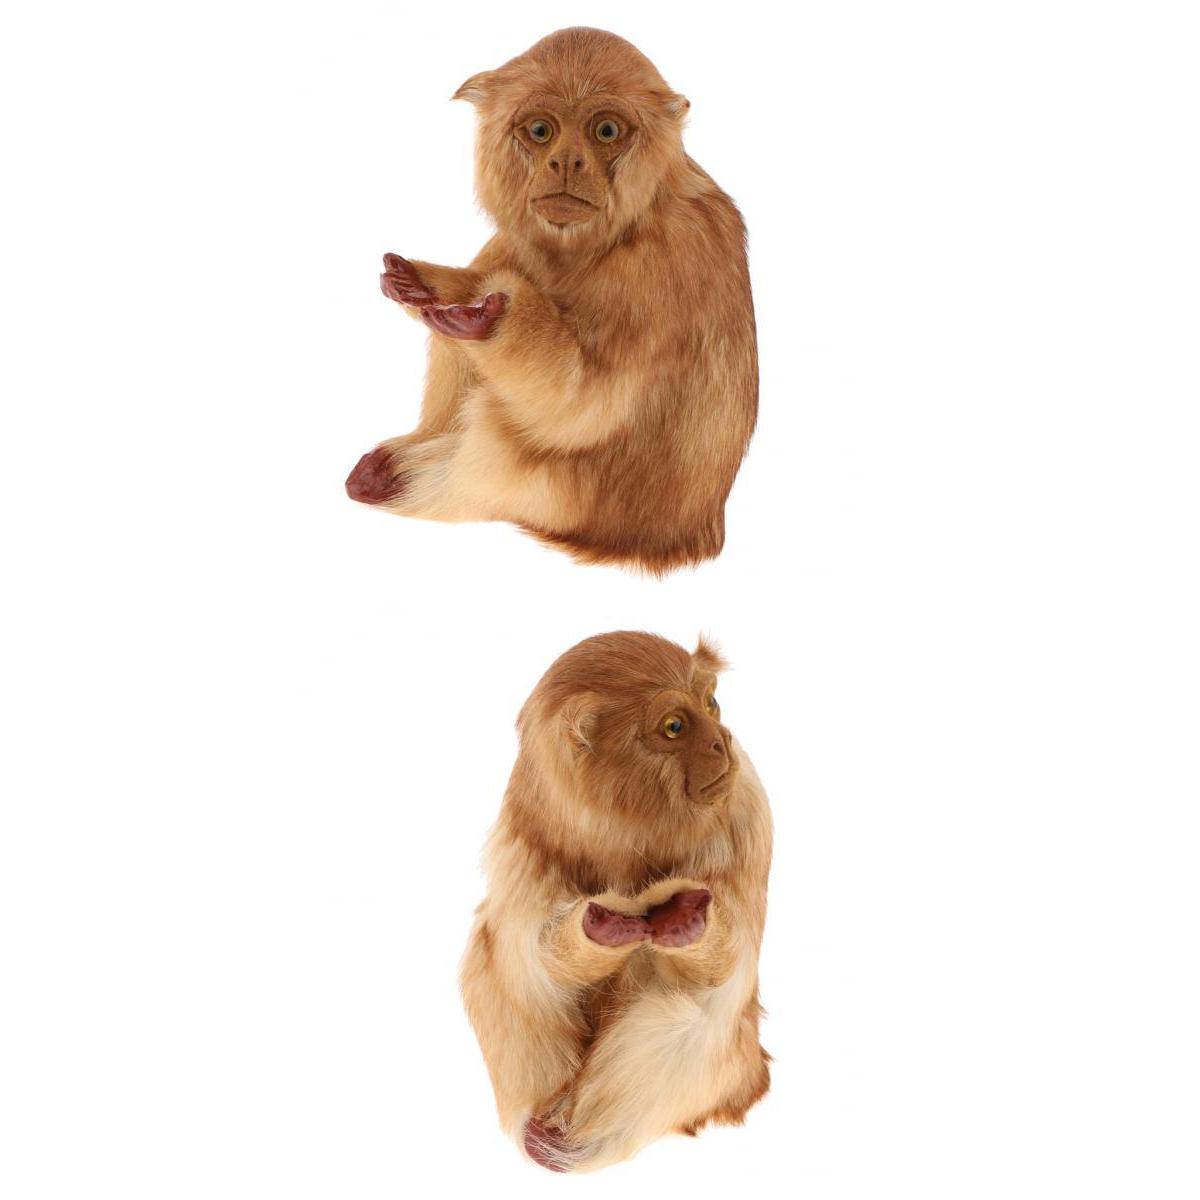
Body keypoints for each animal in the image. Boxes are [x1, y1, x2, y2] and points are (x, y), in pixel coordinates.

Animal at [345, 28, 758, 574]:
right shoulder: (509, 244)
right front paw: (432, 285)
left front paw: (488, 320)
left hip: (576, 505)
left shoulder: (669, 257)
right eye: (540, 131)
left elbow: (586, 408)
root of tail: (696, 535)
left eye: (606, 130)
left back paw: (413, 483)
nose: (566, 161)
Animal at [460, 632, 772, 1171]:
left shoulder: (745, 811)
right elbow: (533, 960)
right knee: (495, 965)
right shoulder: (524, 837)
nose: (723, 740)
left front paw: (687, 921)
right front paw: (599, 928)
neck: (631, 830)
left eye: (711, 703)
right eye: (674, 727)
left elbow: (721, 970)